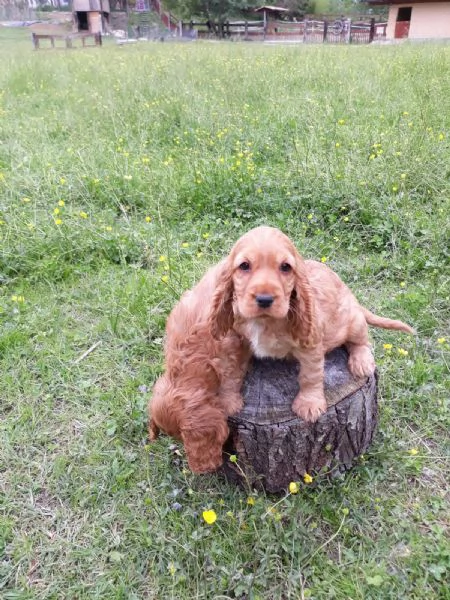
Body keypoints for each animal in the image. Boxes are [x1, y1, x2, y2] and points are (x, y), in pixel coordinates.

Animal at [149, 225, 414, 474]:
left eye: (286, 267)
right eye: (244, 266)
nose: (265, 299)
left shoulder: (310, 342)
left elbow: (310, 375)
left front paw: (309, 404)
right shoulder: (236, 340)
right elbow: (231, 372)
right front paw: (229, 400)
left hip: (352, 320)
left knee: (361, 340)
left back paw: (361, 361)